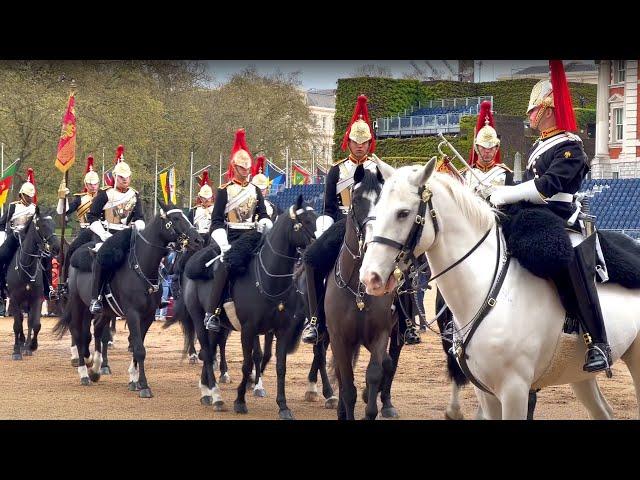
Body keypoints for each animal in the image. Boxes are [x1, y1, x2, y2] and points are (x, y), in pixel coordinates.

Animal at [6, 210, 60, 360]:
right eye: (42, 225)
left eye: (54, 225)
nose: (56, 248)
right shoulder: (14, 299)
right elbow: (17, 325)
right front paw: (16, 351)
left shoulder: (37, 299)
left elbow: (35, 324)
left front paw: (32, 346)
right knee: (19, 320)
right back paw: (20, 343)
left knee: (28, 320)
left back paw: (26, 345)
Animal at [53, 201, 202, 392]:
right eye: (175, 218)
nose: (198, 240)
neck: (141, 268)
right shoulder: (132, 314)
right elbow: (139, 349)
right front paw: (144, 385)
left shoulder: (147, 316)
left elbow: (138, 346)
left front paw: (134, 379)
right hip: (78, 304)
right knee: (79, 332)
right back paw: (84, 371)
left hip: (106, 310)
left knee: (97, 330)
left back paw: (95, 367)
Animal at [165, 194, 316, 416]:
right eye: (305, 221)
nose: (318, 244)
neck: (269, 280)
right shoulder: (249, 329)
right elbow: (247, 363)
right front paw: (240, 400)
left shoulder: (281, 330)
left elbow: (279, 365)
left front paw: (283, 405)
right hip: (200, 320)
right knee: (207, 352)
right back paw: (215, 396)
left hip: (220, 327)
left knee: (212, 349)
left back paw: (207, 388)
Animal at [360, 159, 640, 418]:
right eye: (376, 210)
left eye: (403, 213)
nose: (370, 277)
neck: (487, 290)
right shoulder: (486, 393)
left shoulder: (515, 390)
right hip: (578, 375)